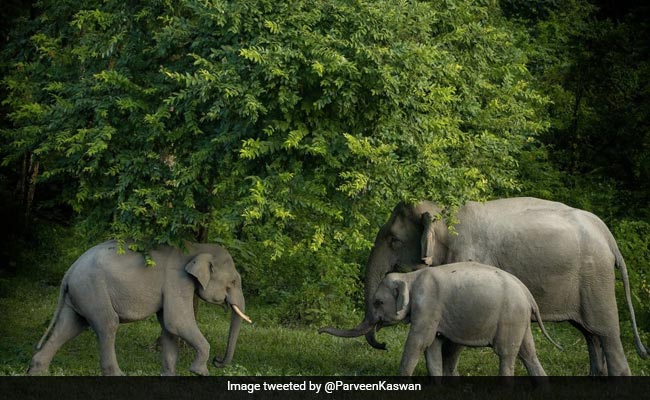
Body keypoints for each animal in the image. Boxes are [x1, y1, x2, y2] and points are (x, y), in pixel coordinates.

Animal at [27, 240, 252, 376]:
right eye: (232, 282)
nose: (217, 361)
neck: (197, 247)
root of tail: (69, 271)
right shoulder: (177, 280)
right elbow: (177, 321)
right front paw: (200, 372)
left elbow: (169, 326)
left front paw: (169, 375)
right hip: (93, 290)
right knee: (108, 325)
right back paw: (117, 375)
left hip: (80, 294)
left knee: (70, 326)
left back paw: (37, 371)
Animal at [373, 263, 560, 377]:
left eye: (378, 302)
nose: (384, 345)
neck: (409, 277)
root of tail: (528, 294)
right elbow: (432, 344)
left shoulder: (427, 306)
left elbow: (419, 342)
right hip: (521, 320)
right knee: (528, 353)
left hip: (512, 317)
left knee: (506, 354)